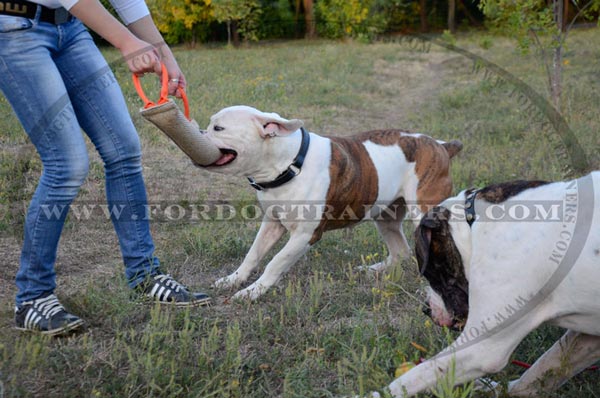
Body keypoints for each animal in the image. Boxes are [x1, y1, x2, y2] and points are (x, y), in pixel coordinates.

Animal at [199, 105, 462, 298]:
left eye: (218, 128)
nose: (199, 133)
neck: (290, 163)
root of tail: (440, 145)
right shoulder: (272, 223)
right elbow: (253, 254)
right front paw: (234, 280)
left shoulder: (306, 235)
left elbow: (276, 261)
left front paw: (254, 291)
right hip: (386, 217)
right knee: (401, 251)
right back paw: (373, 270)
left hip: (424, 211)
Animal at [376, 173, 600, 398]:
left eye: (429, 272)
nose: (426, 309)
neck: (474, 226)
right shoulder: (586, 340)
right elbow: (539, 372)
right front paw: (496, 389)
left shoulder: (481, 349)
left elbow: (418, 374)